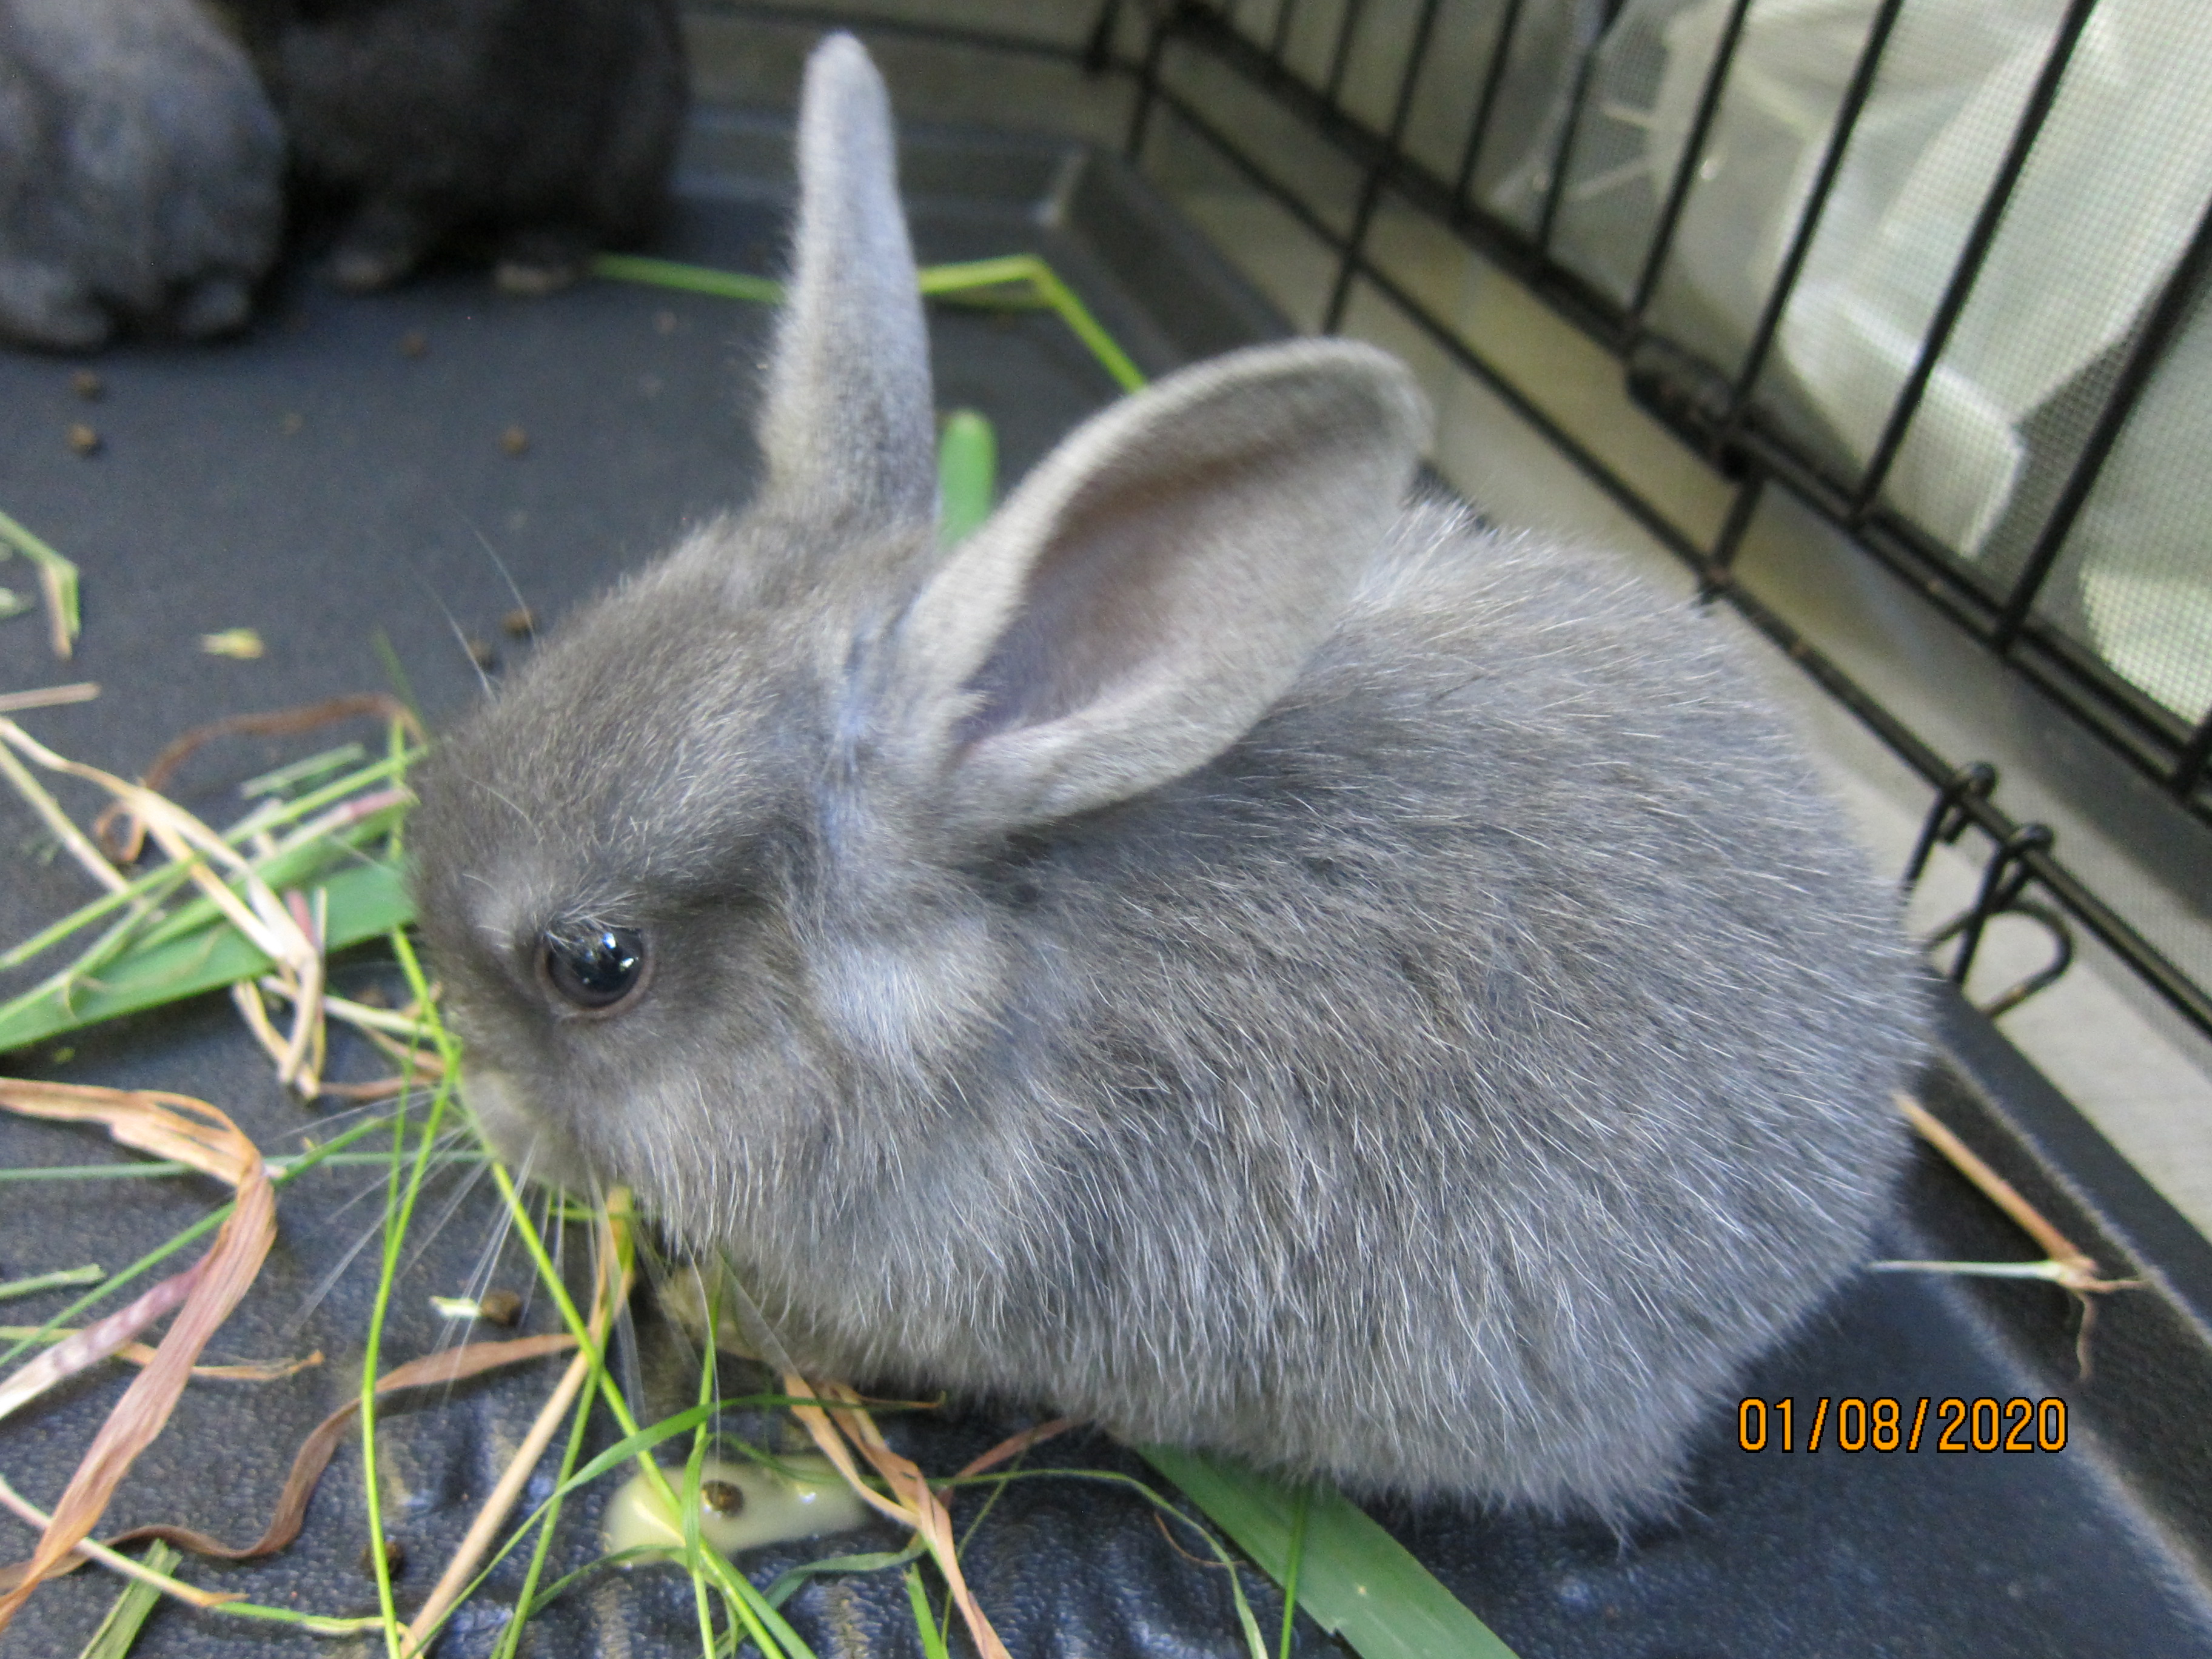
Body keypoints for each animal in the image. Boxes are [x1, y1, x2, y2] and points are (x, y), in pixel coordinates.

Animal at [232, 0, 681, 296]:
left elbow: (401, 212)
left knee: (590, 221)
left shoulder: (444, 145)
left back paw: (534, 265)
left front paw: (356, 266)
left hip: (626, 150)